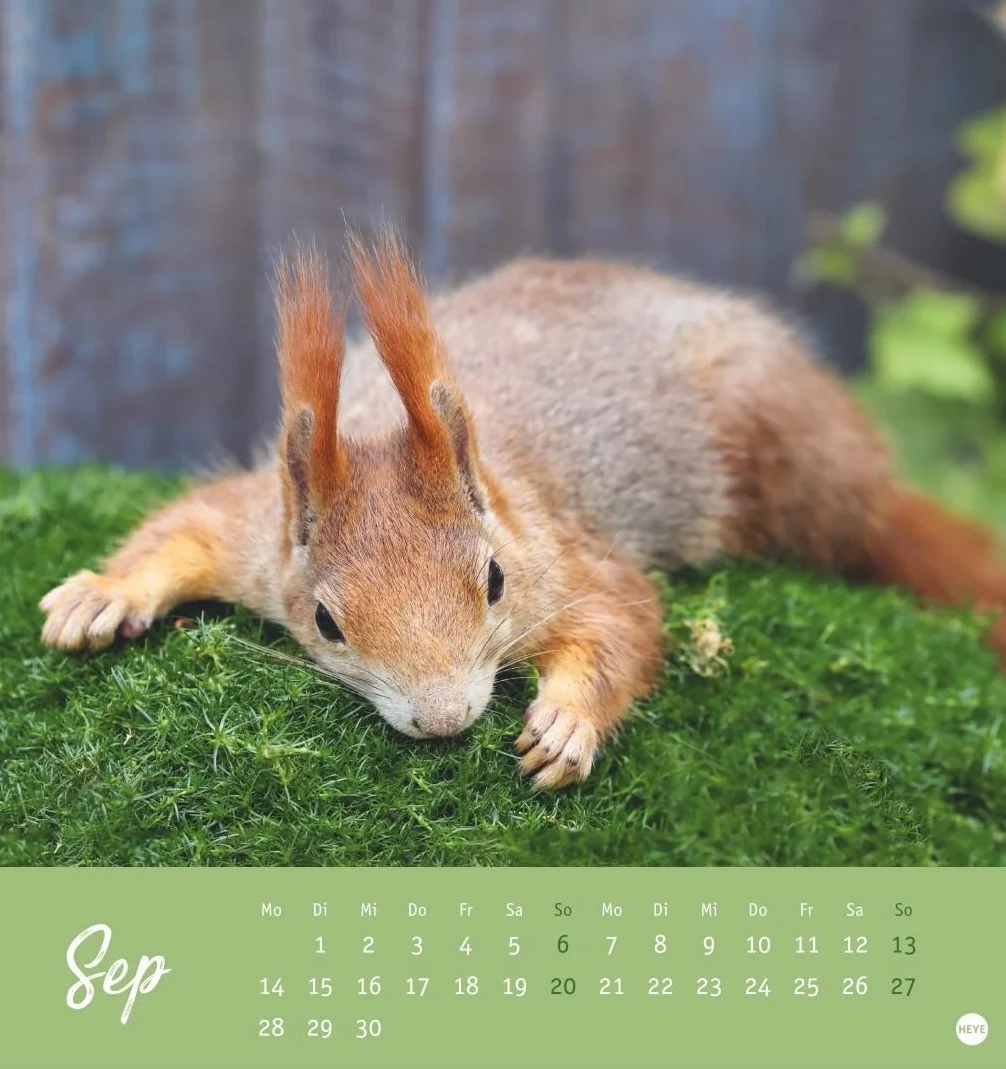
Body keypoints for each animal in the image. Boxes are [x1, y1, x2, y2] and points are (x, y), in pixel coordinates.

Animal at [39, 231, 1006, 790]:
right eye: (325, 622)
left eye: (496, 581)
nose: (443, 722)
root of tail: (869, 478)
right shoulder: (258, 532)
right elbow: (185, 527)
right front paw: (104, 593)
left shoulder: (565, 556)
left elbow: (621, 619)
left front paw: (569, 721)